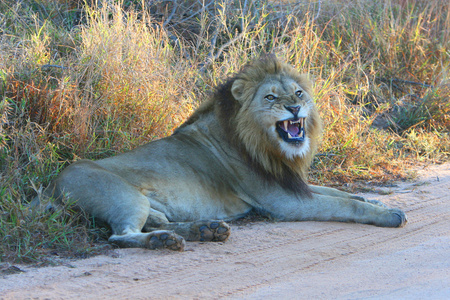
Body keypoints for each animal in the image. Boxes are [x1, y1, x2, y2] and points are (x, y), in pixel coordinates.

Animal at [39, 55, 408, 251]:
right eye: (270, 97)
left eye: (299, 93)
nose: (294, 107)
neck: (266, 145)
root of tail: (51, 185)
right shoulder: (282, 202)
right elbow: (343, 204)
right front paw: (389, 213)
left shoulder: (289, 181)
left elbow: (337, 191)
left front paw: (370, 198)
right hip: (124, 197)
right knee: (121, 236)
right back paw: (165, 240)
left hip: (148, 204)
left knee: (157, 222)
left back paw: (206, 230)